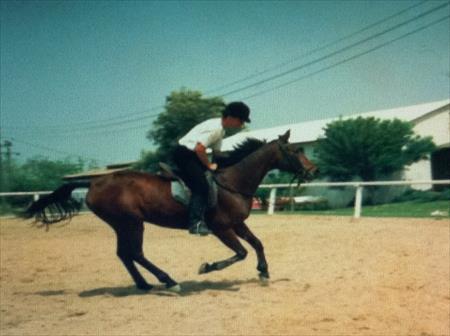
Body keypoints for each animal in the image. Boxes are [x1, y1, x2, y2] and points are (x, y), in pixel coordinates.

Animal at [24, 130, 318, 292]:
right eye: (295, 150)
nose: (313, 171)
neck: (232, 182)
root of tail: (95, 182)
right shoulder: (221, 228)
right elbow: (241, 252)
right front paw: (207, 267)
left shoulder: (237, 223)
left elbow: (257, 243)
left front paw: (264, 272)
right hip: (132, 223)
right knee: (135, 253)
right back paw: (169, 281)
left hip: (123, 224)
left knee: (125, 254)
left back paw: (145, 285)